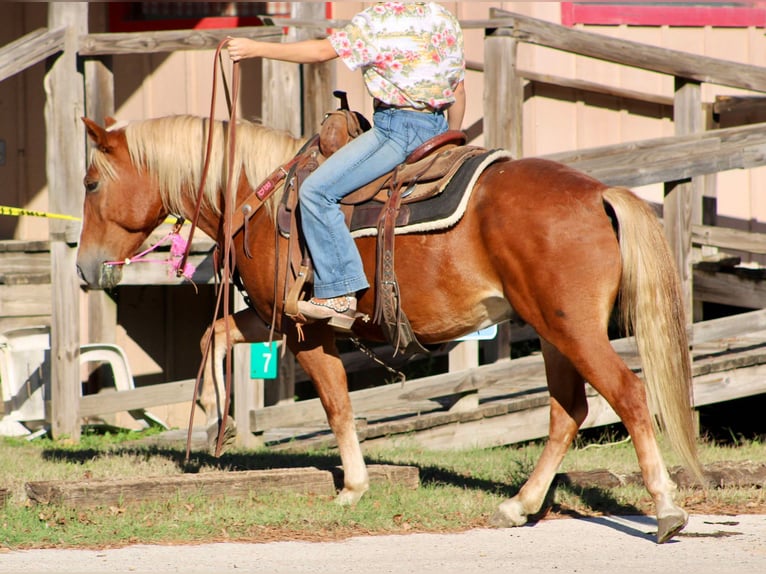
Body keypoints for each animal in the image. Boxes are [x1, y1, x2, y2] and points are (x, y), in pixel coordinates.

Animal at [75, 113, 704, 544]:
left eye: (89, 184)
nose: (84, 268)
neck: (258, 197)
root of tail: (599, 194)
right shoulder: (274, 317)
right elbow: (214, 337)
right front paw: (214, 422)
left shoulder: (307, 329)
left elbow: (336, 403)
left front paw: (352, 488)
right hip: (553, 333)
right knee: (567, 411)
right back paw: (518, 505)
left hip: (575, 332)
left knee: (626, 394)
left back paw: (665, 508)